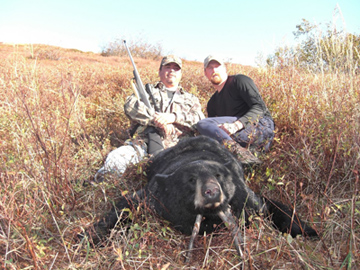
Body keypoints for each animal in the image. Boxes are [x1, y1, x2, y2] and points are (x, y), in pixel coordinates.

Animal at [87, 137, 318, 260]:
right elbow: (124, 207)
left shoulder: (248, 199)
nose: (211, 192)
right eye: (191, 180)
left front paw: (307, 230)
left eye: (219, 175)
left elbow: (271, 207)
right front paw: (89, 237)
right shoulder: (153, 195)